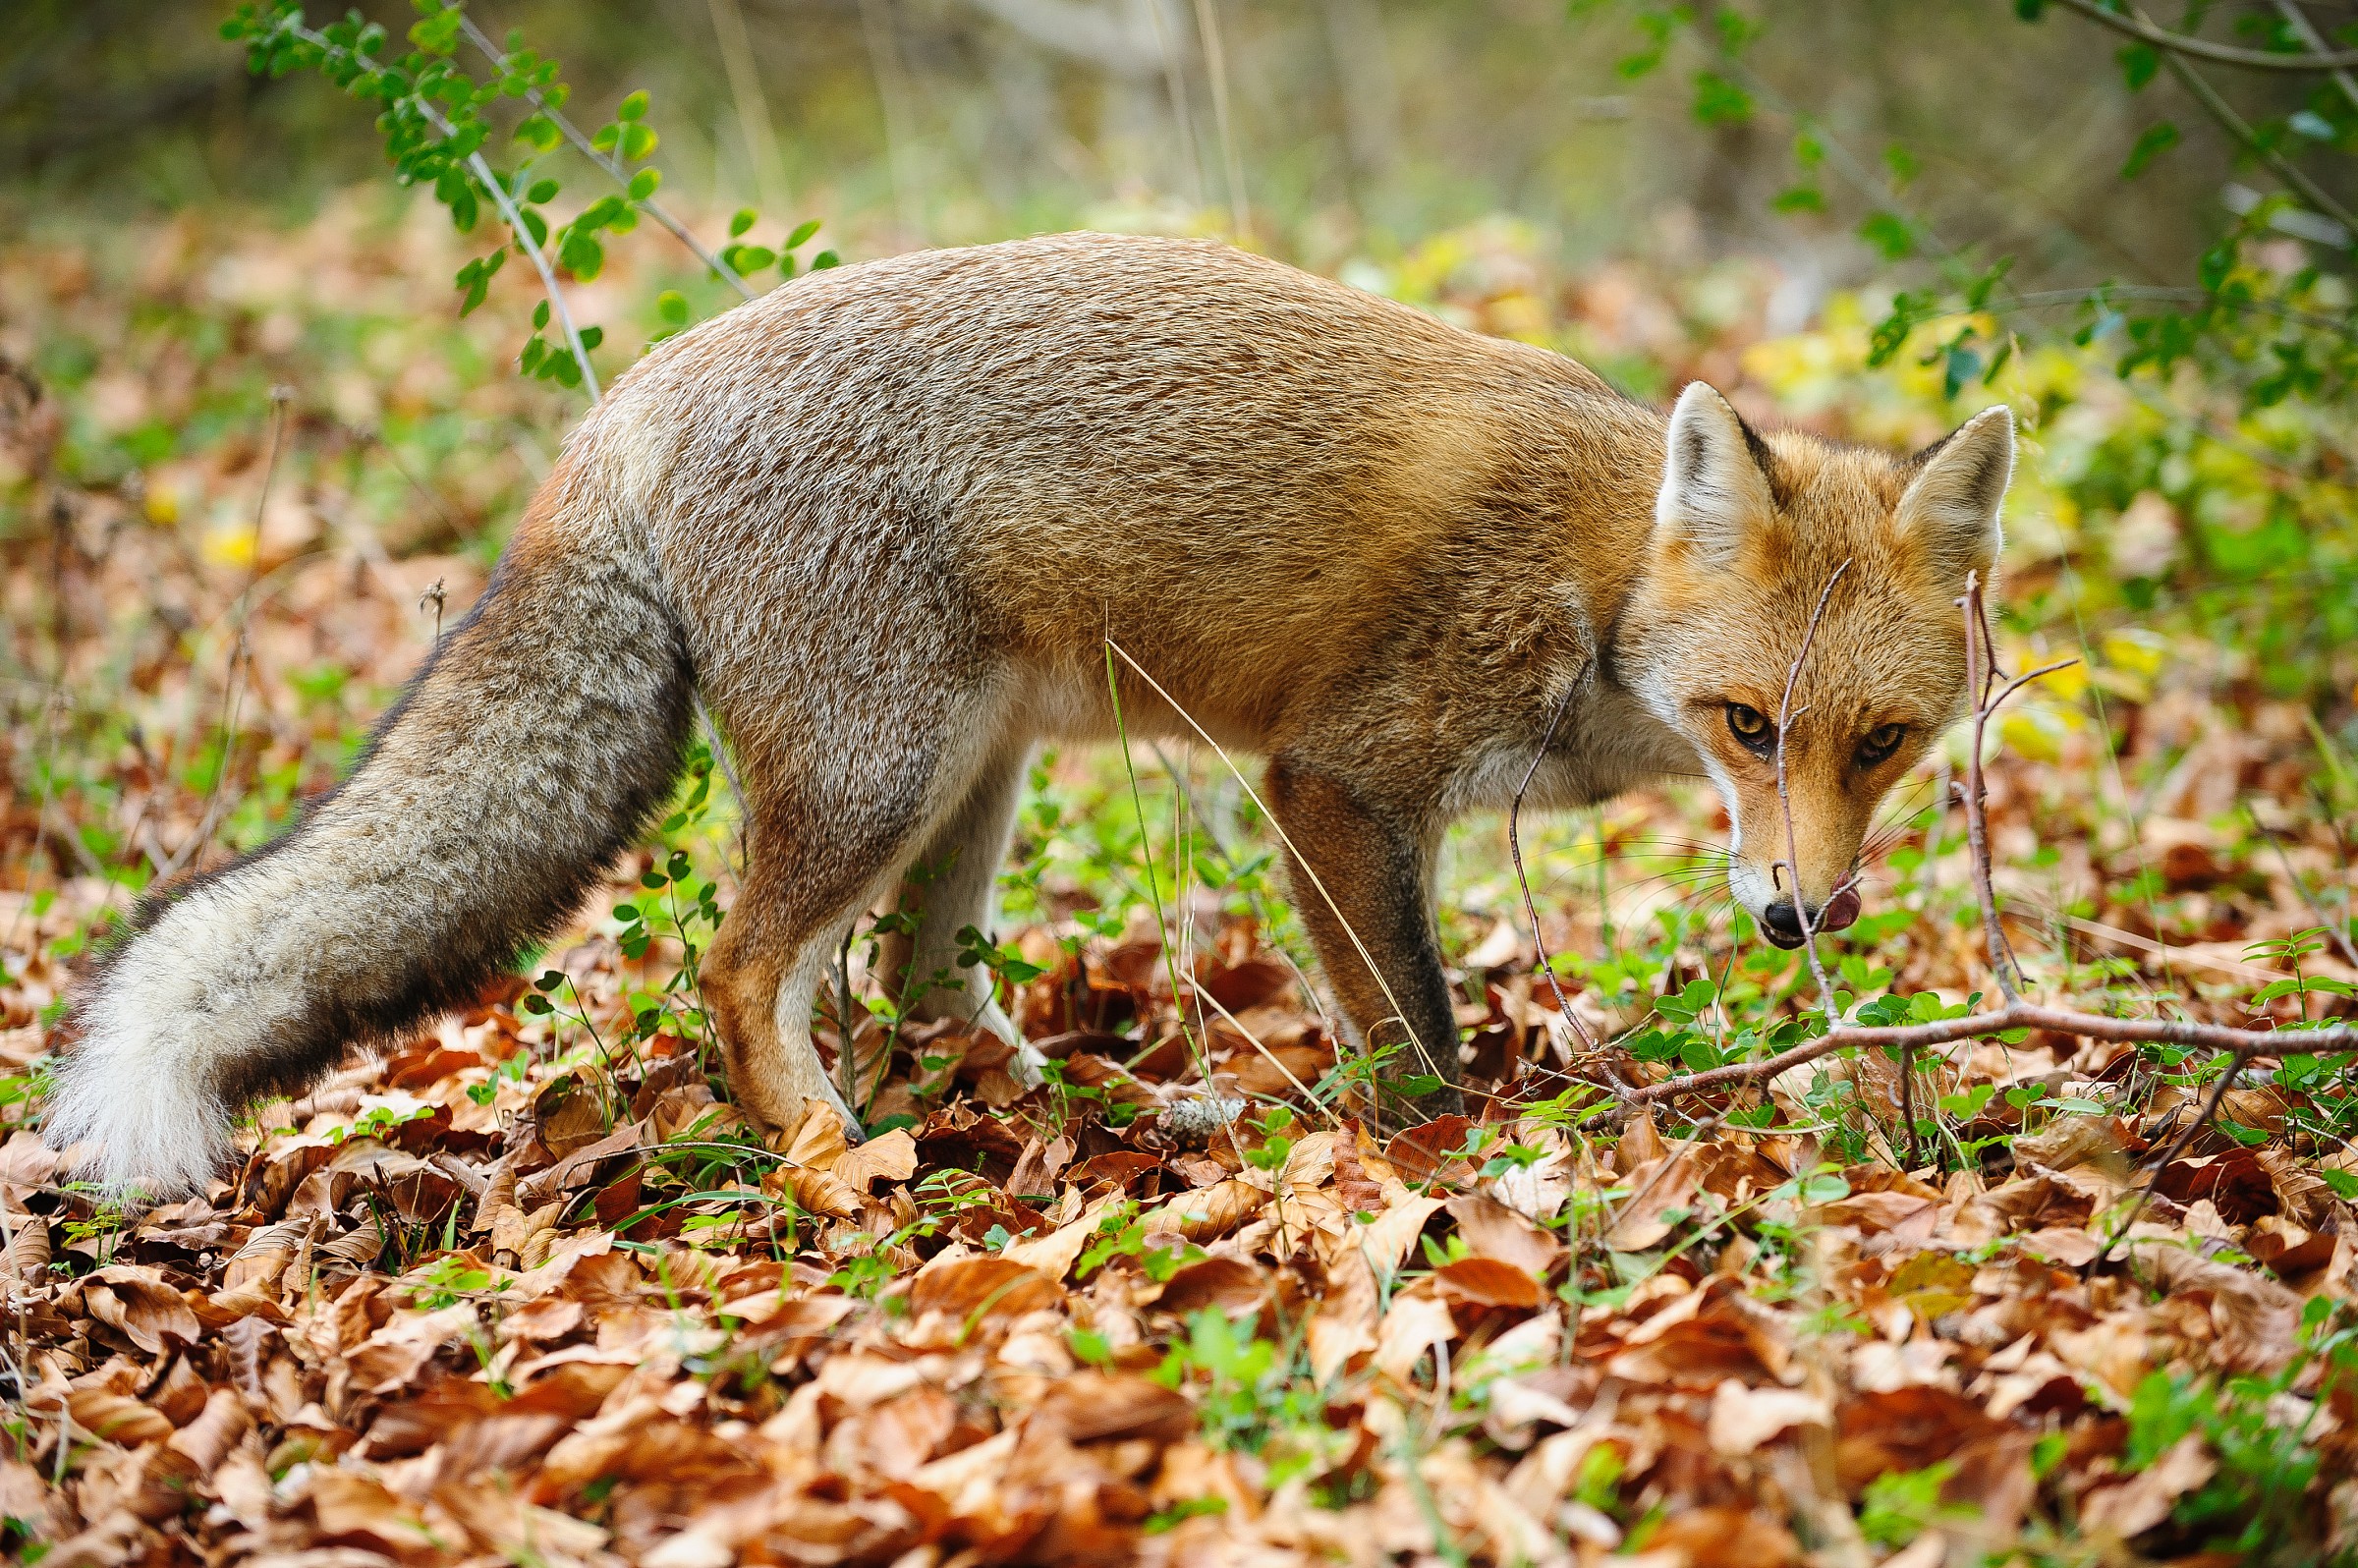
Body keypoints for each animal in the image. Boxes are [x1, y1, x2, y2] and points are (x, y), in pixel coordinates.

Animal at [48, 231, 2014, 1196]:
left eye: (1879, 744)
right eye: (1750, 726)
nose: (1803, 917)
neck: (1592, 584)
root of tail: (627, 402)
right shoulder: (1336, 782)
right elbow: (1422, 1034)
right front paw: (1434, 1154)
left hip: (967, 780)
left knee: (928, 985)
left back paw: (1096, 1110)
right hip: (879, 772)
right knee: (740, 972)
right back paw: (828, 1156)